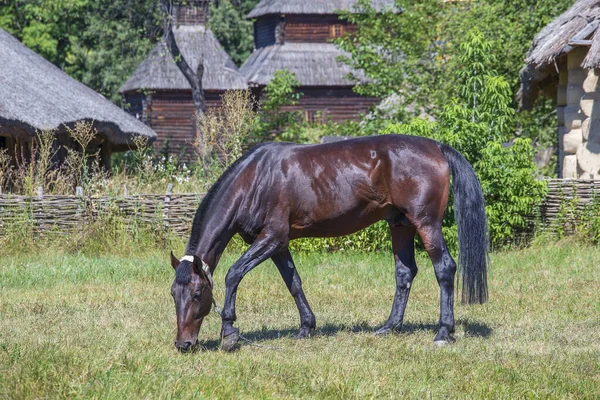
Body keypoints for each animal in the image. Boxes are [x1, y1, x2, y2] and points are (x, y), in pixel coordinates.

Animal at [169, 134, 488, 354]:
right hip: (400, 225)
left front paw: (229, 331)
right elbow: (294, 282)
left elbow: (233, 274)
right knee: (405, 273)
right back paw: (389, 327)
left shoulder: (271, 238)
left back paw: (443, 332)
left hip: (426, 223)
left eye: (197, 294)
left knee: (444, 268)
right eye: (173, 294)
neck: (255, 179)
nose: (183, 344)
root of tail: (437, 147)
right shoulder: (278, 244)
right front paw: (306, 327)